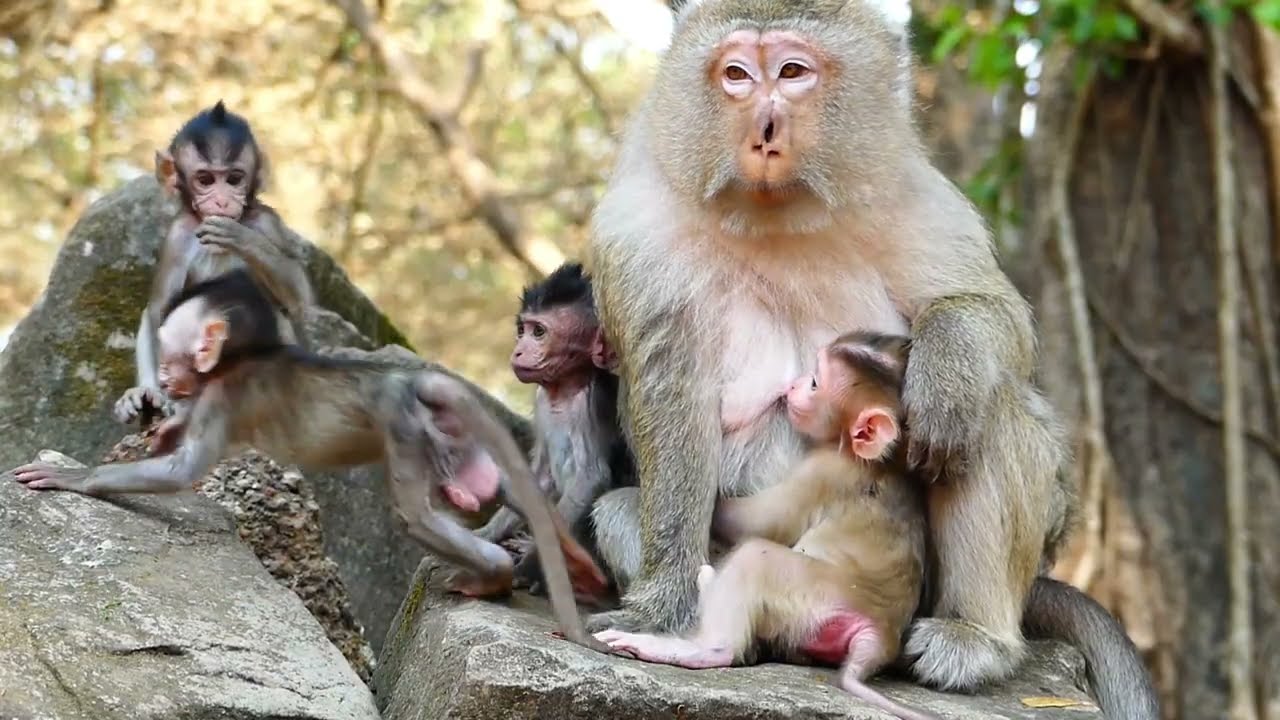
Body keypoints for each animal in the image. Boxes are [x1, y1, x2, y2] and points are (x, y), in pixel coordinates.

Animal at [12, 269, 617, 655]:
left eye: (169, 350)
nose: (161, 374)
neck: (240, 358)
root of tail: (411, 379)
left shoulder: (223, 397)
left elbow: (180, 468)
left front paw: (75, 477)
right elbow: (166, 445)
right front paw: (139, 406)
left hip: (404, 425)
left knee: (416, 518)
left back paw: (493, 573)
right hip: (451, 435)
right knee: (493, 488)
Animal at [113, 100, 314, 426]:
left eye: (234, 179)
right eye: (205, 180)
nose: (222, 201)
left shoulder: (267, 222)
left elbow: (298, 299)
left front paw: (239, 236)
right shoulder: (178, 236)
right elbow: (158, 312)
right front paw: (147, 393)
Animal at [470, 262, 634, 593]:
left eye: (539, 332)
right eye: (522, 330)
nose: (518, 351)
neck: (565, 389)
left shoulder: (592, 403)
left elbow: (590, 478)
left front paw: (531, 568)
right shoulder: (542, 400)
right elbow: (539, 477)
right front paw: (486, 535)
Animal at [596, 331, 937, 720]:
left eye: (815, 382)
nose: (793, 385)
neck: (886, 460)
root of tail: (881, 633)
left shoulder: (824, 471)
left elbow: (760, 524)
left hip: (816, 596)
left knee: (756, 559)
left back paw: (704, 643)